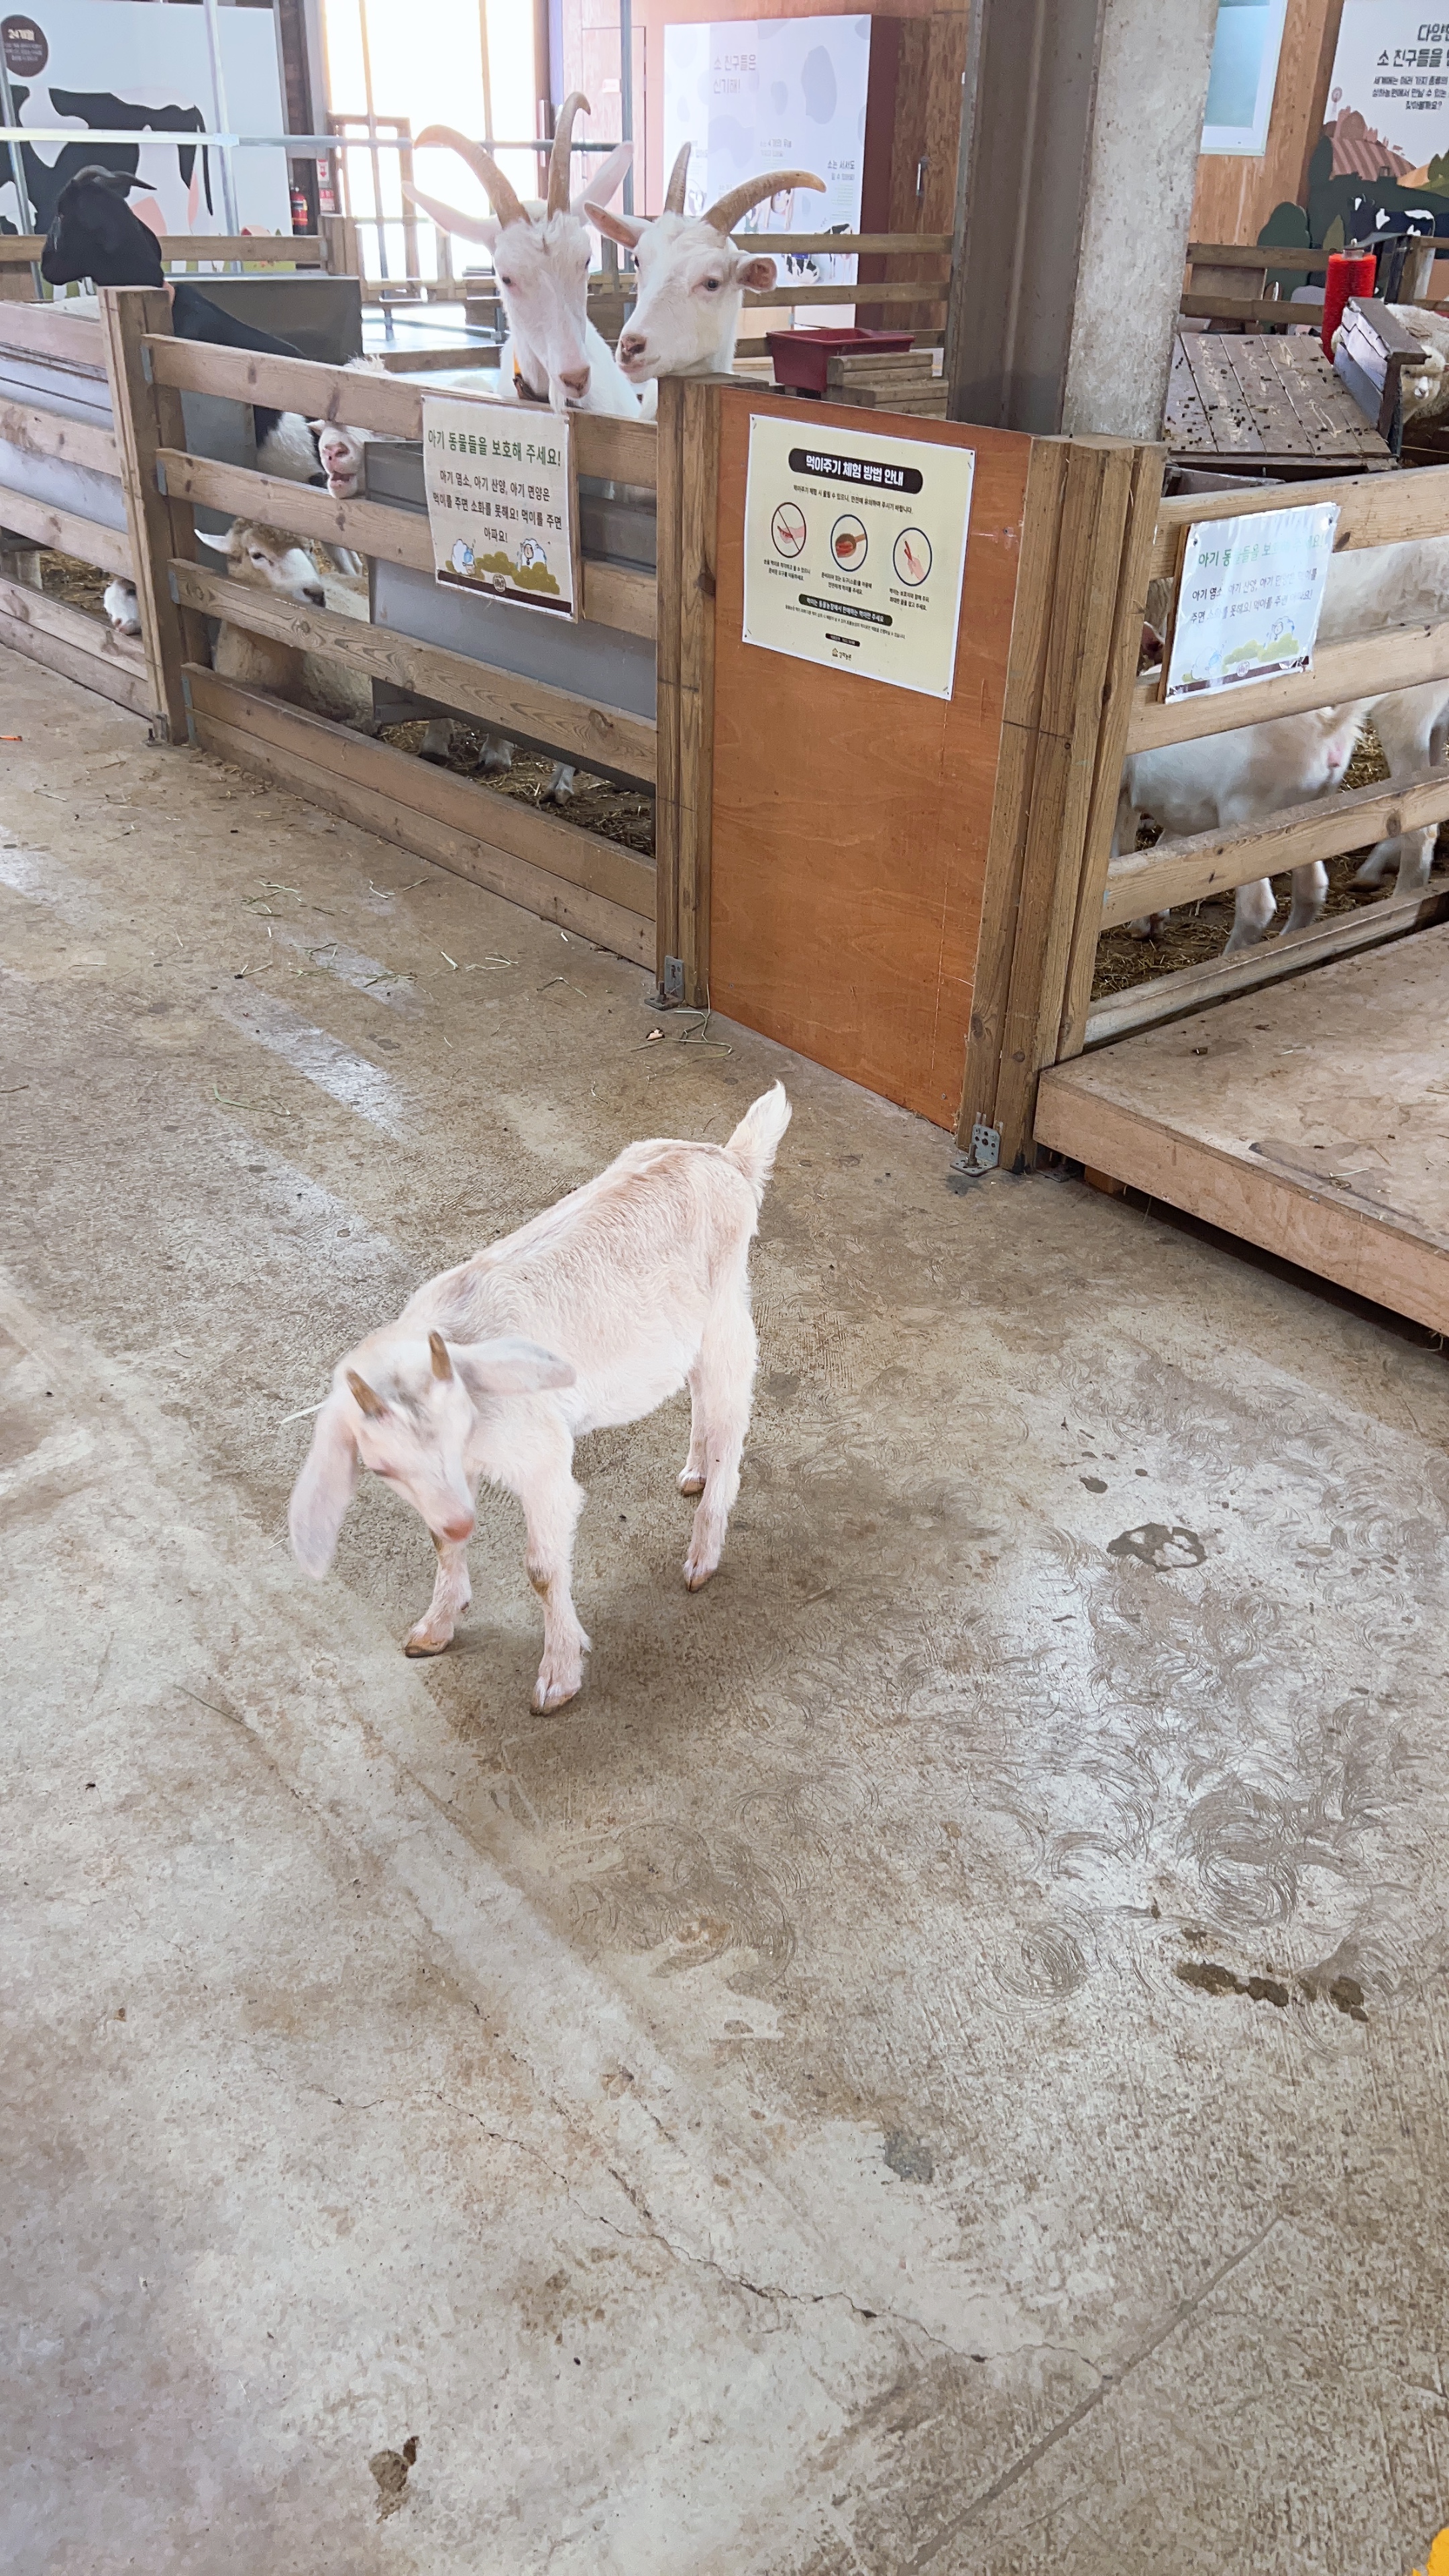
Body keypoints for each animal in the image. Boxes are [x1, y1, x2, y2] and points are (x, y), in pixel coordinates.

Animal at [288, 1083, 791, 1711]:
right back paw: (695, 1470)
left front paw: (559, 1674)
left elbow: (544, 1570)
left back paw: (703, 1550)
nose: (463, 1522)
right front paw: (436, 1624)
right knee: (699, 1389)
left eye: (459, 1424)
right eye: (379, 1468)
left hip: (726, 1314)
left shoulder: (544, 1461)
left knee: (731, 1414)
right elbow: (439, 1540)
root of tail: (724, 1158)